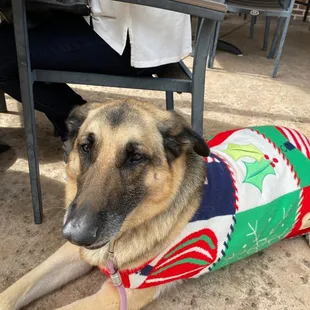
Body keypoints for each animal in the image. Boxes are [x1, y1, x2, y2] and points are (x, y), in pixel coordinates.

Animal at [0, 100, 310, 308]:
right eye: (86, 147)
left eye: (136, 157)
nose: (75, 233)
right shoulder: (74, 253)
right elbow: (17, 289)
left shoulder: (114, 296)